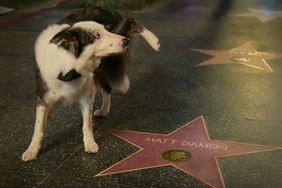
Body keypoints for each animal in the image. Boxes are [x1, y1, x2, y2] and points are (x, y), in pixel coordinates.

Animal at [22, 20, 129, 162]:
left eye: (106, 29)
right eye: (97, 36)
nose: (126, 41)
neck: (68, 67)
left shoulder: (86, 96)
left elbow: (86, 124)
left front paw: (90, 143)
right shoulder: (42, 98)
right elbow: (38, 128)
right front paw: (32, 150)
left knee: (107, 88)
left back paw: (104, 110)